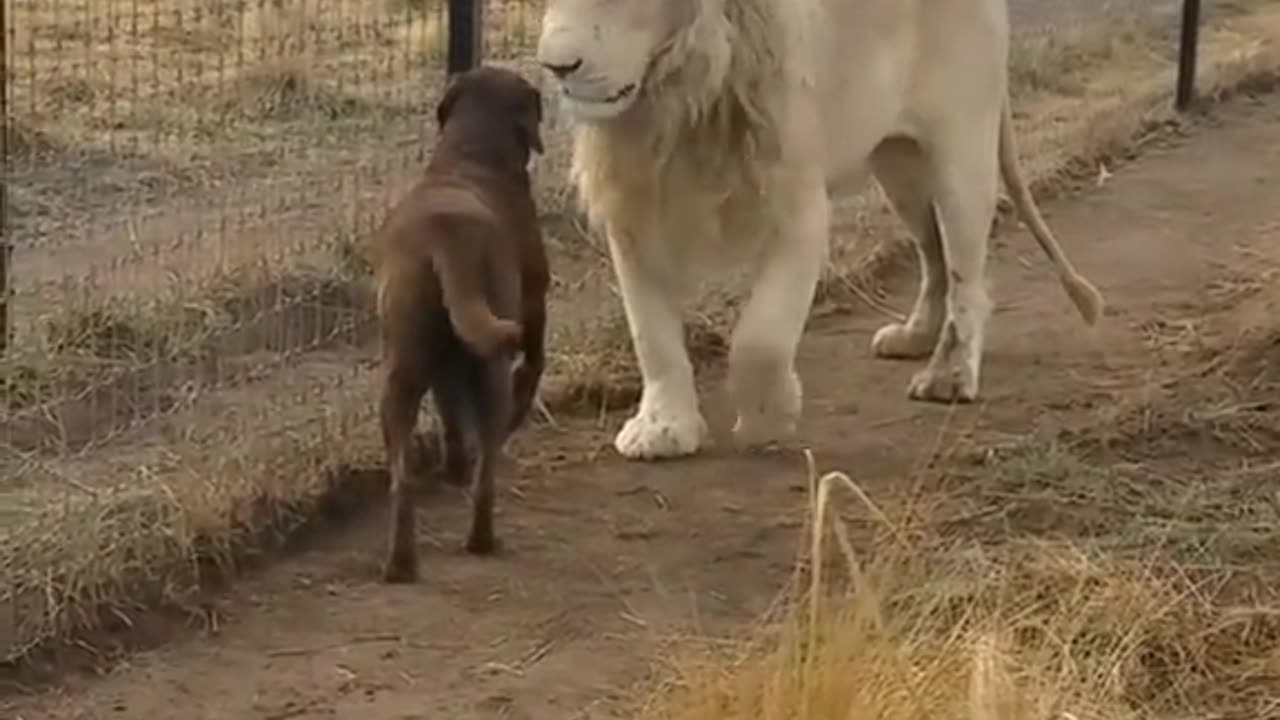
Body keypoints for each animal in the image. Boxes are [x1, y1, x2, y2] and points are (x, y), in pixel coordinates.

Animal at [371, 65, 550, 584]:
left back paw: (401, 562)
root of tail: (445, 237)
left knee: (403, 479)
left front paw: (453, 465)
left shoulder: (446, 365)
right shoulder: (535, 304)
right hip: (491, 367)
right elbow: (535, 363)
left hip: (402, 375)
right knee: (488, 461)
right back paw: (482, 539)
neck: (470, 154)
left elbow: (450, 413)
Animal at [535, 0, 1105, 458]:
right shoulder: (634, 208)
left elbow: (762, 337)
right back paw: (915, 336)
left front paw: (767, 419)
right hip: (898, 166)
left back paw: (949, 374)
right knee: (934, 254)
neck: (677, 99)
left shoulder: (798, 204)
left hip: (960, 152)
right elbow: (650, 334)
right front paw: (662, 429)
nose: (556, 66)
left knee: (967, 273)